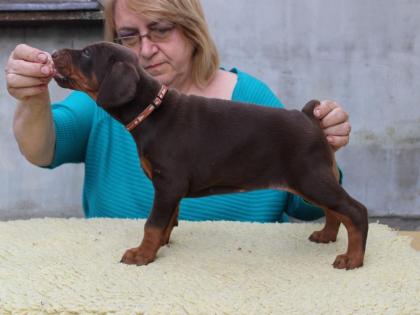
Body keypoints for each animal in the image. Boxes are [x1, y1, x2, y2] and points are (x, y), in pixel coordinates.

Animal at [51, 40, 368, 270]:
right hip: (313, 180)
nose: (53, 53)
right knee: (335, 210)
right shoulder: (171, 188)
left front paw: (142, 254)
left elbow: (152, 223)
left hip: (309, 177)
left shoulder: (168, 183)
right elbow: (168, 219)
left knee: (355, 211)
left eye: (87, 52)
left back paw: (352, 259)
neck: (150, 111)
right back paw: (327, 236)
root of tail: (309, 118)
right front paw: (161, 245)